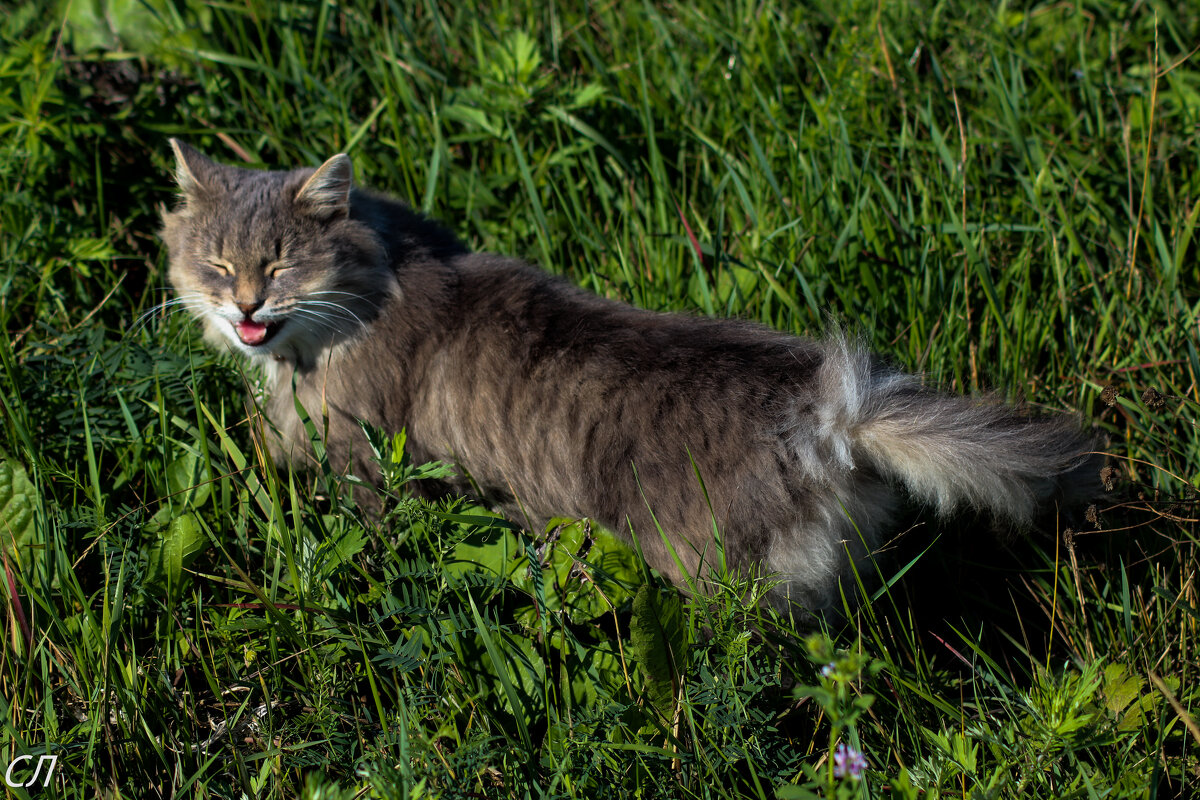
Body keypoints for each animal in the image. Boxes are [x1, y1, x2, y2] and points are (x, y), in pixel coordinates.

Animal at [162, 139, 1104, 614]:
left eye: (278, 265)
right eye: (216, 264)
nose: (244, 308)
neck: (378, 275)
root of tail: (830, 415)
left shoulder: (366, 472)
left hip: (724, 587)